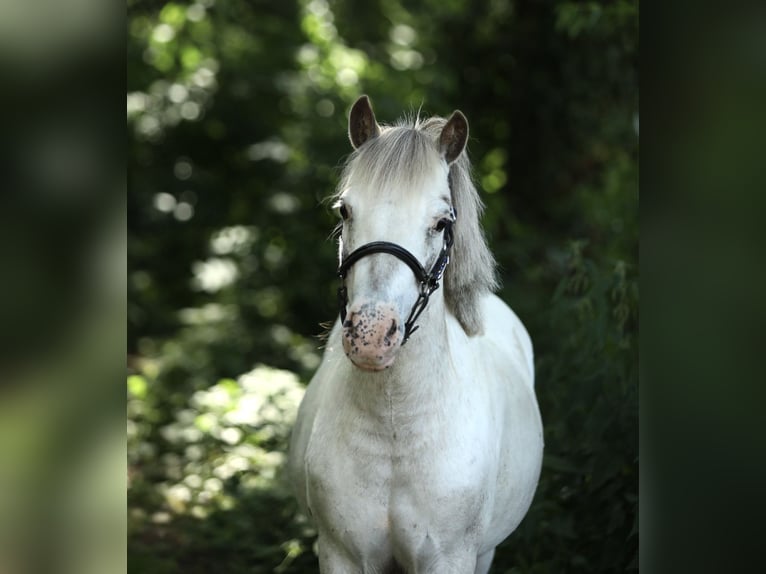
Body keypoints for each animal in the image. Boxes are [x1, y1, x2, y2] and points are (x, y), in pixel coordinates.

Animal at [288, 95, 543, 573]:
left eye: (442, 222)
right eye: (345, 210)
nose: (370, 336)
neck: (393, 428)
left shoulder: (451, 557)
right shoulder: (340, 553)